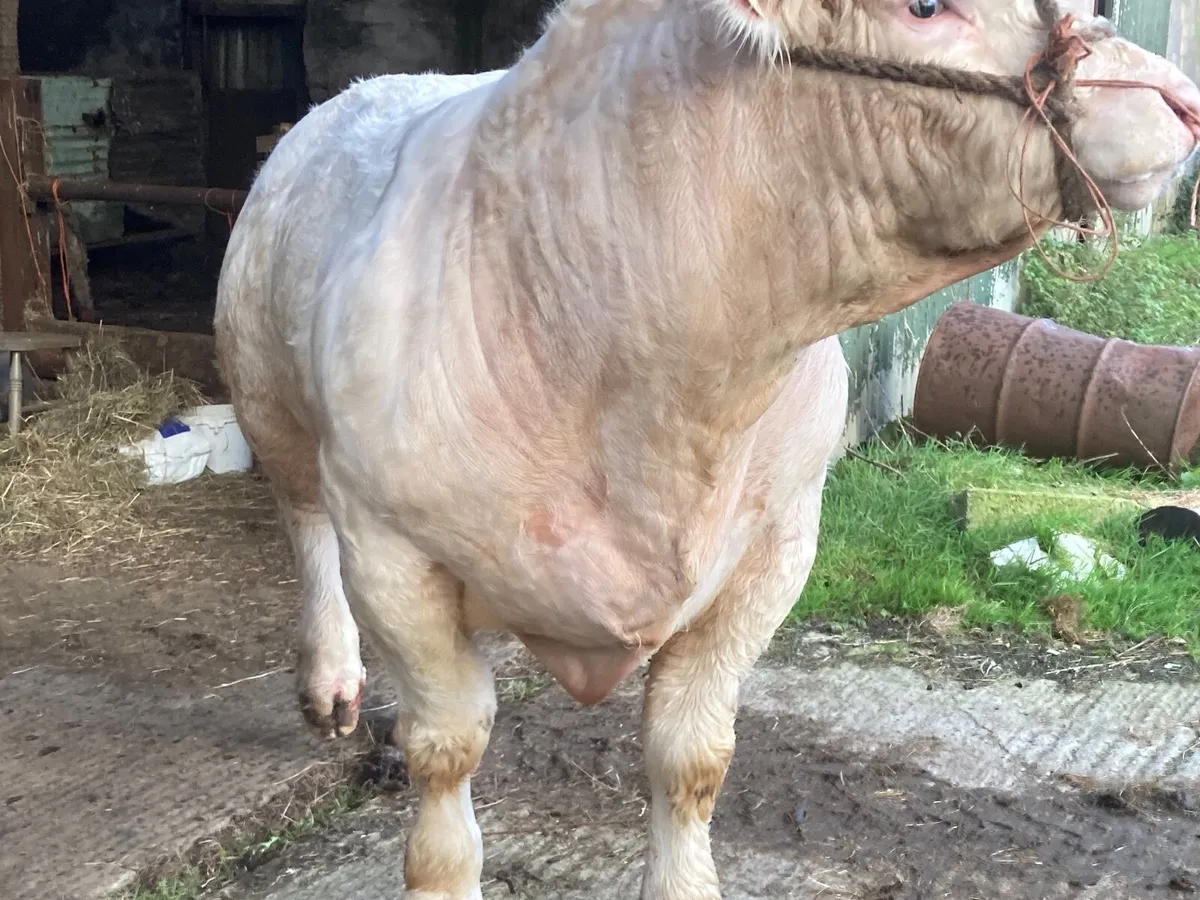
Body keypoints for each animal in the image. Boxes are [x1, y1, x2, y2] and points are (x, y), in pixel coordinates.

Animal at [213, 0, 1200, 896]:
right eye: (923, 7)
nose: (1181, 99)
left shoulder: (778, 544)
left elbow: (691, 757)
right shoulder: (392, 552)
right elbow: (446, 762)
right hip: (268, 397)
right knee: (303, 525)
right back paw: (332, 680)